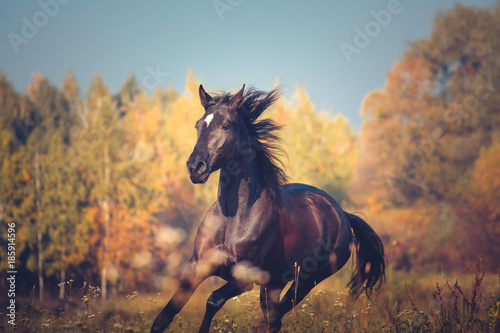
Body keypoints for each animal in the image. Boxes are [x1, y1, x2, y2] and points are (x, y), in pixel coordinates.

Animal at [150, 85, 384, 332]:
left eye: (226, 125)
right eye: (198, 125)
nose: (195, 167)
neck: (232, 218)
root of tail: (343, 215)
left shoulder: (244, 278)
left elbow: (213, 300)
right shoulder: (196, 268)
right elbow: (165, 316)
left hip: (306, 280)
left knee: (275, 317)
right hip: (274, 282)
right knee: (272, 319)